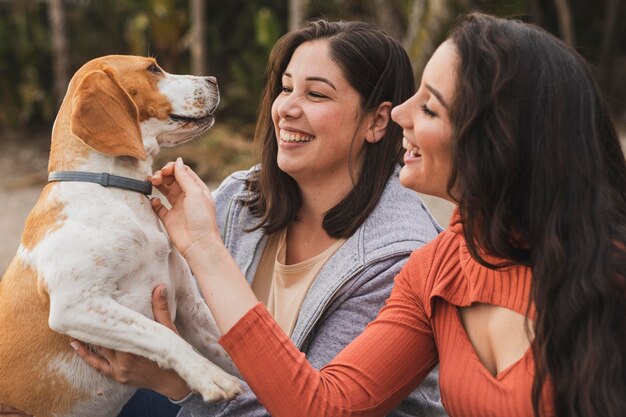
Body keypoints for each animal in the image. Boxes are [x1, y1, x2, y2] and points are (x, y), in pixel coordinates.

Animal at [0, 56, 241, 416]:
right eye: (153, 68)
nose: (213, 79)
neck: (116, 189)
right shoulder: (76, 305)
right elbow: (162, 335)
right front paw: (210, 376)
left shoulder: (189, 305)